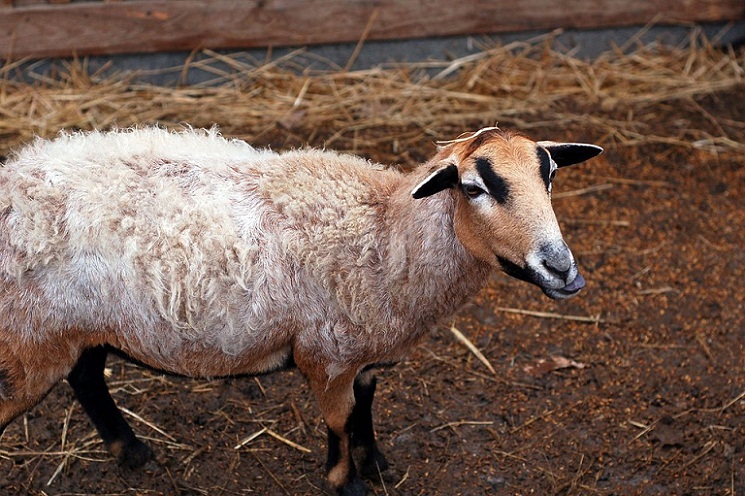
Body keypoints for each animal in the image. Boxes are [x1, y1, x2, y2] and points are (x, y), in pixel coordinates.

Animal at [0, 125, 600, 496]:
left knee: (86, 376)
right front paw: (346, 481)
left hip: (75, 326)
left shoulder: (362, 352)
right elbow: (339, 419)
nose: (562, 269)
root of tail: (14, 176)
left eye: (549, 175)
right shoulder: (327, 354)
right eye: (474, 188)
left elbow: (364, 407)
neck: (384, 234)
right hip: (29, 338)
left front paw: (375, 463)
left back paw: (129, 450)